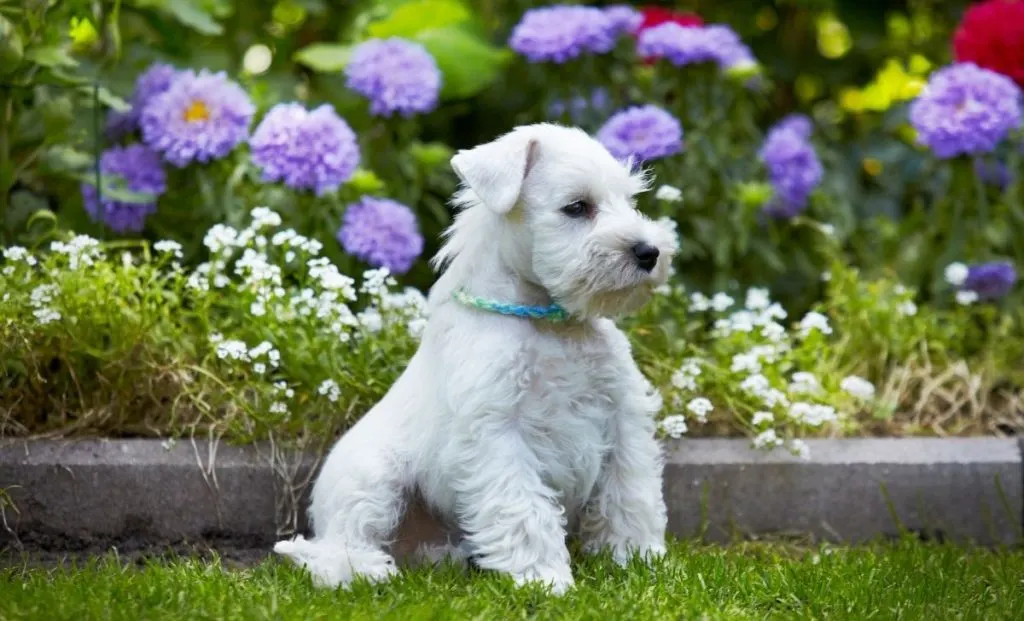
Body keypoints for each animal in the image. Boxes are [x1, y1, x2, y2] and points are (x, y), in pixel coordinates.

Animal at [272, 123, 679, 594]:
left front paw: (638, 559)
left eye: (630, 200)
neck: (548, 323)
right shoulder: (499, 434)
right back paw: (369, 570)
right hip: (372, 478)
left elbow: (630, 494)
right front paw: (544, 579)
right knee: (335, 547)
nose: (649, 252)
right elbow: (523, 509)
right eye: (577, 207)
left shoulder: (623, 419)